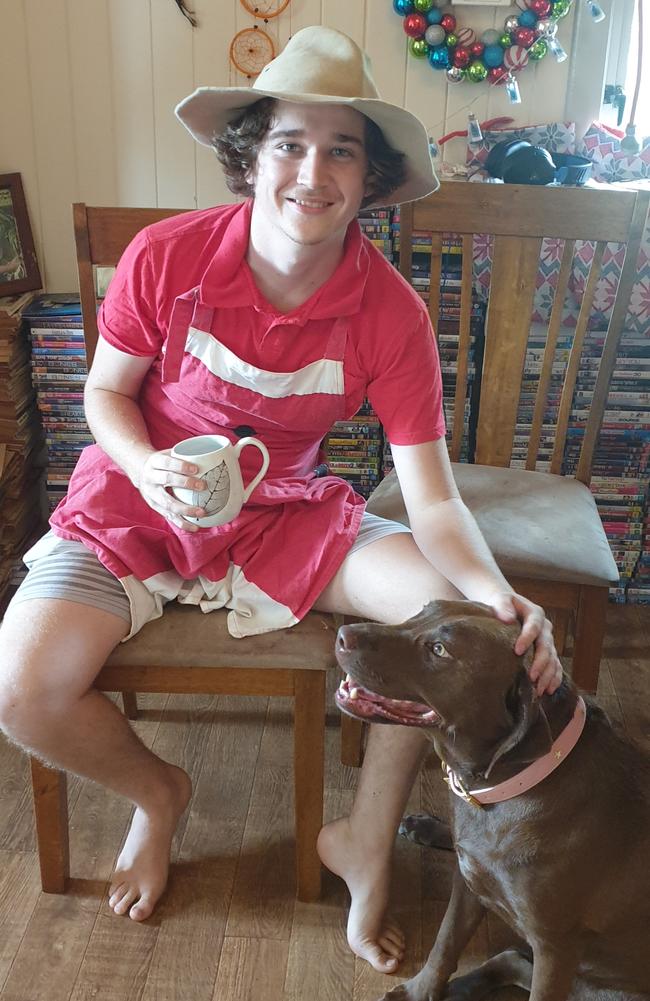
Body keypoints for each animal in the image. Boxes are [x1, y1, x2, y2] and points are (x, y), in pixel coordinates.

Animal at [334, 600, 648, 1001]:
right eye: (422, 611)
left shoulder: (554, 948)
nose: (343, 635)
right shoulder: (468, 884)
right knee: (507, 957)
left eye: (440, 650)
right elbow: (444, 944)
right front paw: (420, 991)